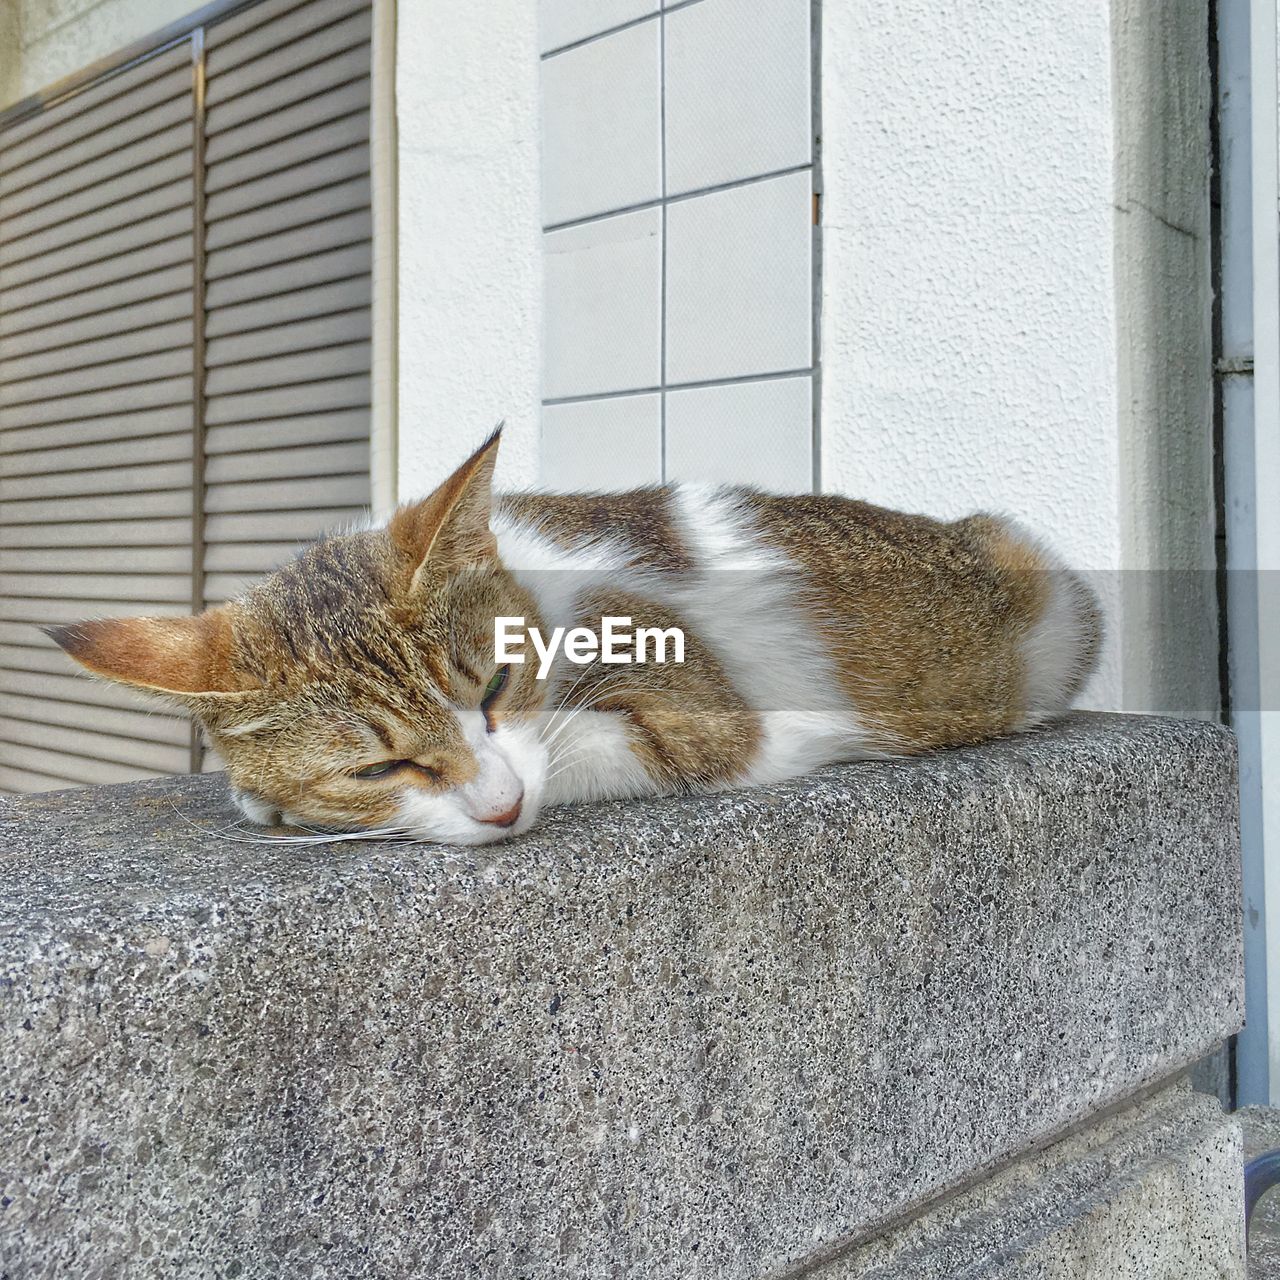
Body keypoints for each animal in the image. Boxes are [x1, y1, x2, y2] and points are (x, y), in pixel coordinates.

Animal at [47, 435, 1100, 844]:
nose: (502, 808)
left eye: (493, 687)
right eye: (376, 767)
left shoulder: (704, 718)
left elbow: (587, 746)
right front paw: (262, 796)